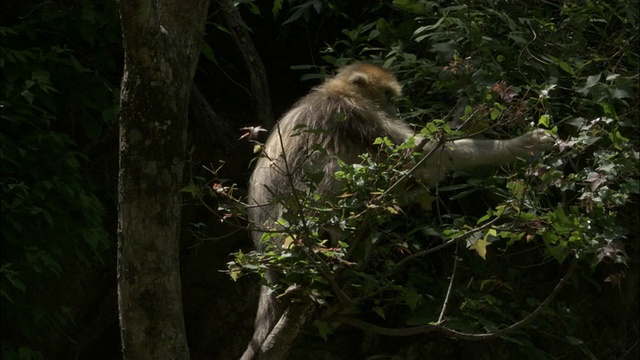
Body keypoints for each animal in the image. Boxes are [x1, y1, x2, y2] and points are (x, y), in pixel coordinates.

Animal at [240, 62, 556, 360]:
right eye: (389, 97)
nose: (395, 109)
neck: (337, 91)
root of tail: (266, 258)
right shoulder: (355, 113)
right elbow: (422, 156)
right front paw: (520, 144)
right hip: (292, 224)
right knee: (331, 165)